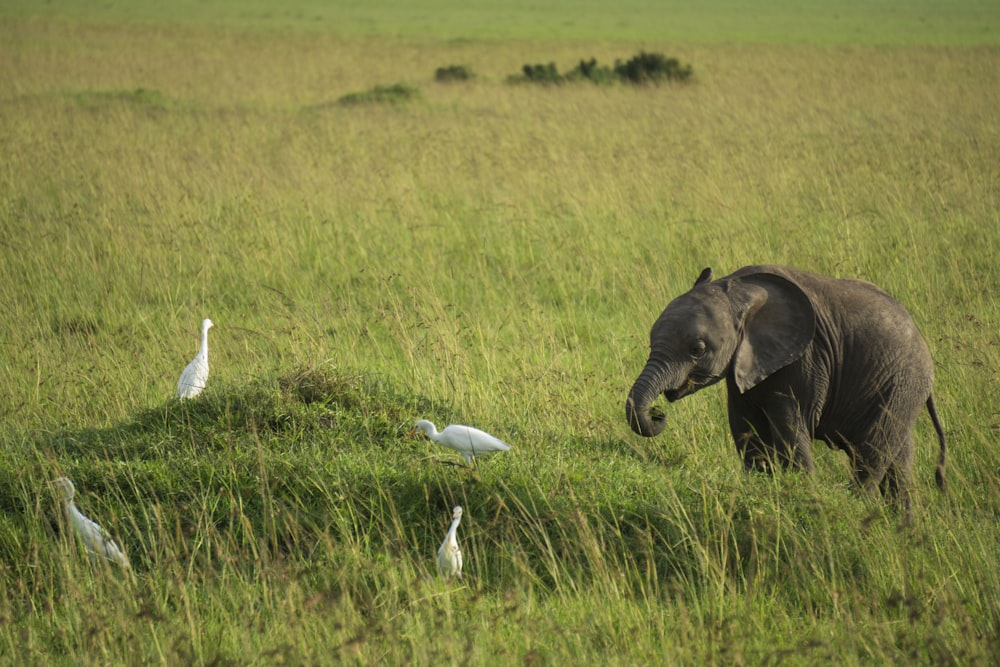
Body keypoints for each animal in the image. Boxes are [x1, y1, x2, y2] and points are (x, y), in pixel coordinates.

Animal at [624, 264, 944, 508]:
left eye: (697, 349)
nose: (658, 413)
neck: (738, 288)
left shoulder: (806, 360)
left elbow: (790, 428)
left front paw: (805, 495)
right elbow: (745, 429)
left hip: (901, 383)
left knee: (872, 451)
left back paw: (855, 509)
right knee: (899, 463)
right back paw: (903, 528)